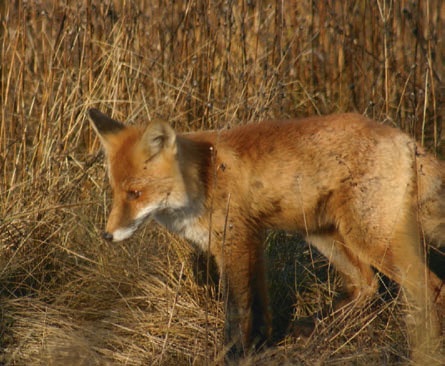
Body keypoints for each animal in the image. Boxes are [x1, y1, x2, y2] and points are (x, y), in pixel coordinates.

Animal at [88, 109, 442, 364]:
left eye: (135, 193)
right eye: (116, 192)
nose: (106, 235)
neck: (203, 178)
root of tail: (404, 137)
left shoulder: (234, 242)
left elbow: (237, 308)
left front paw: (231, 355)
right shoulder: (251, 240)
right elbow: (259, 303)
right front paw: (260, 345)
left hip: (369, 237)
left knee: (429, 287)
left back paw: (425, 348)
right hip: (322, 235)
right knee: (367, 285)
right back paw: (317, 326)